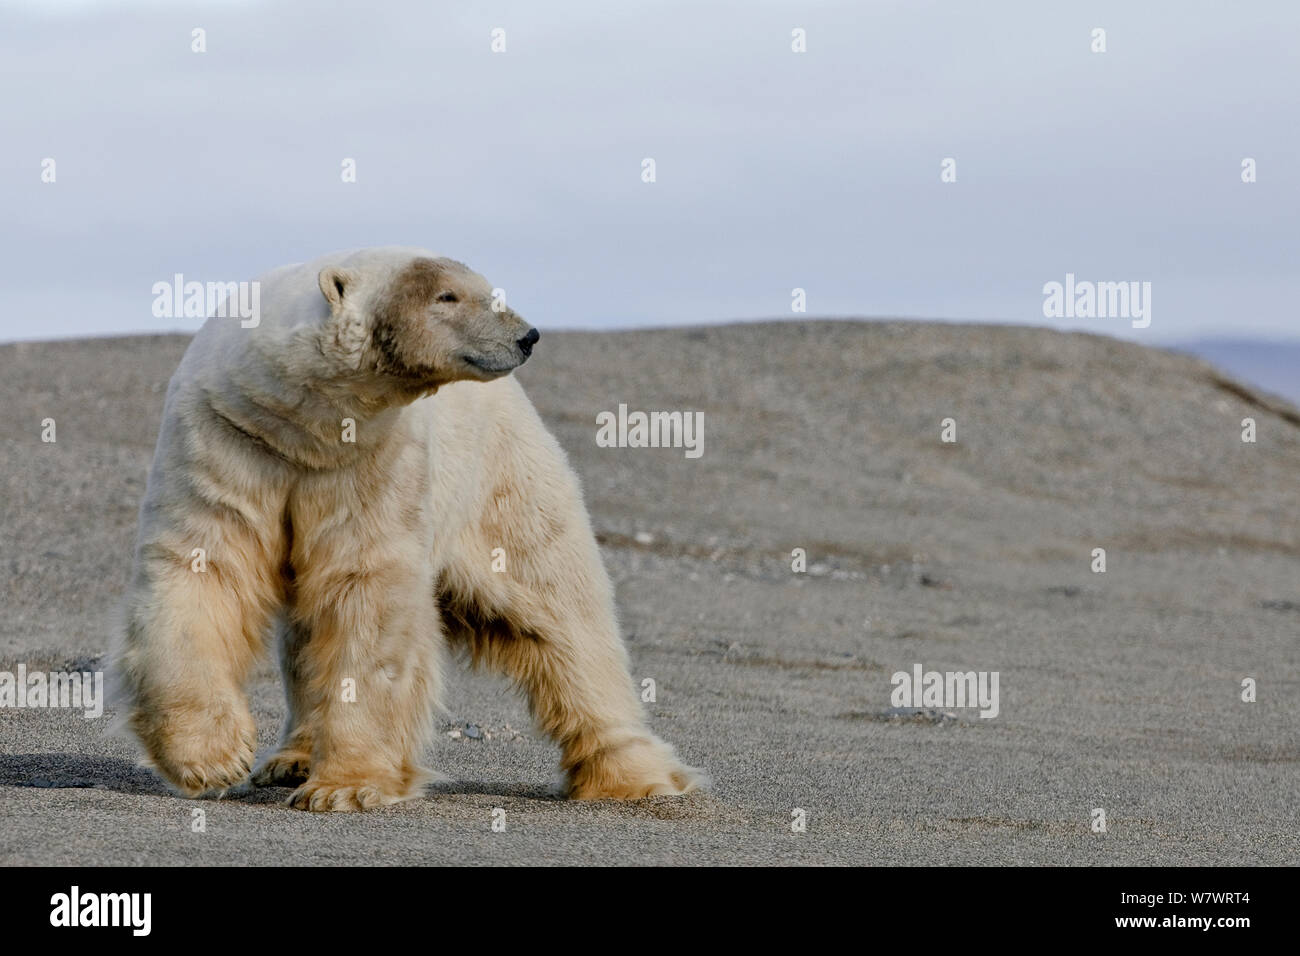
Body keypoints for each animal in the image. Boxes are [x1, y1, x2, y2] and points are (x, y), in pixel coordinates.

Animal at [114, 248, 702, 816]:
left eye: (486, 289)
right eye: (448, 296)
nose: (527, 335)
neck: (301, 427)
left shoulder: (376, 459)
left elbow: (367, 592)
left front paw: (344, 789)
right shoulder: (228, 438)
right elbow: (202, 567)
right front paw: (213, 759)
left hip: (500, 486)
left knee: (563, 617)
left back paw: (632, 776)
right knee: (304, 636)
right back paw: (292, 759)